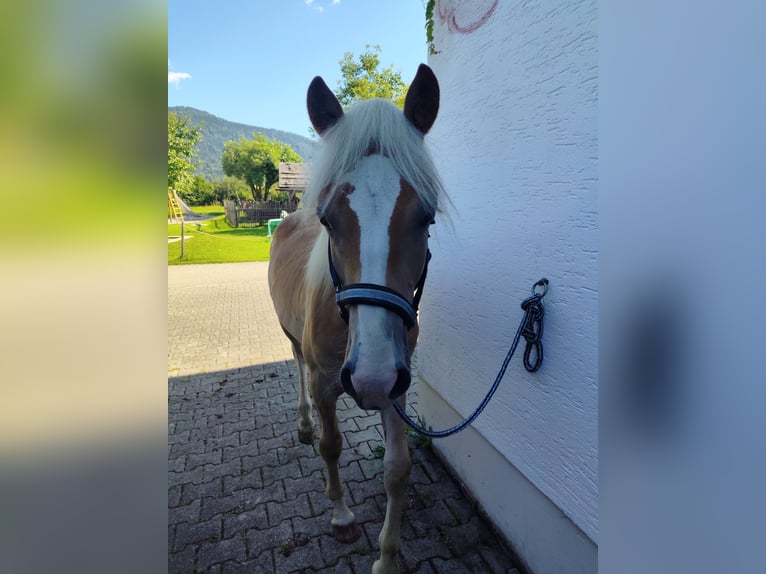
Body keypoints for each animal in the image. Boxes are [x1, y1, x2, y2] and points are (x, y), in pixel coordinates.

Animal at [270, 65, 448, 572]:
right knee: (296, 368)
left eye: (426, 217)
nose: (370, 375)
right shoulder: (328, 381)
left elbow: (398, 468)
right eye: (329, 219)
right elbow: (332, 445)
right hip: (293, 340)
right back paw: (304, 424)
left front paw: (387, 557)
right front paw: (342, 516)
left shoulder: (396, 386)